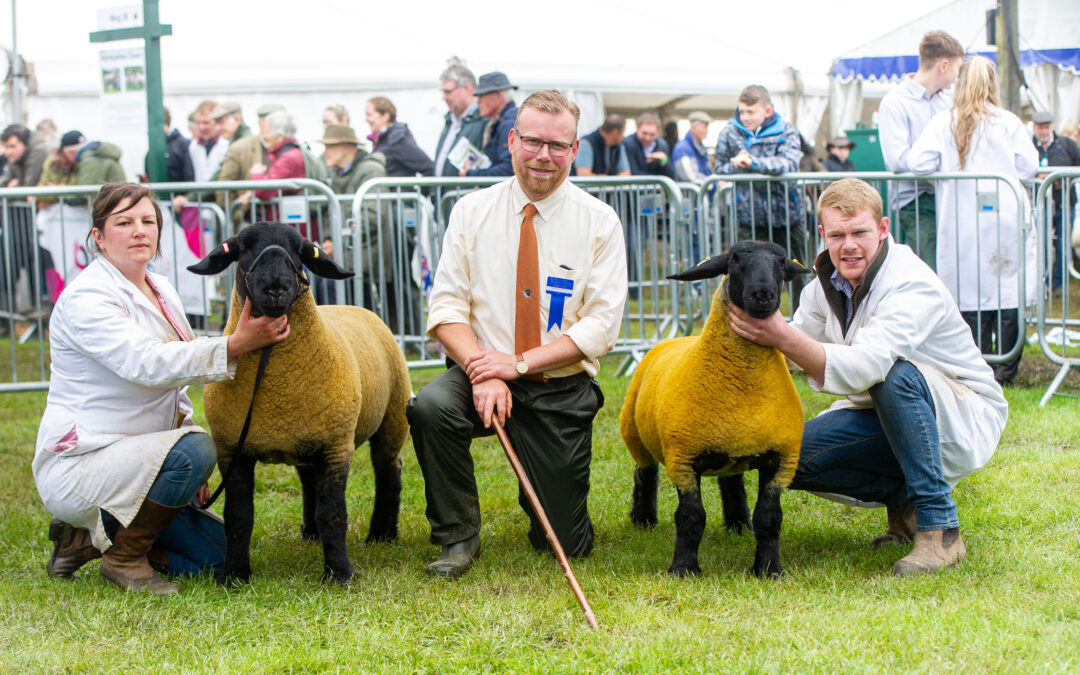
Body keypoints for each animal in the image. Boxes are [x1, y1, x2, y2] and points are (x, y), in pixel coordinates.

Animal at [187, 222, 410, 583]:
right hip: (305, 440)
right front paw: (234, 576)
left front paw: (339, 574)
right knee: (309, 480)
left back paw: (382, 534)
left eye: (300, 251)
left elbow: (333, 514)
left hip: (392, 415)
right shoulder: (232, 449)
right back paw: (311, 532)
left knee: (389, 470)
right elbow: (238, 517)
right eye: (242, 248)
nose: (276, 288)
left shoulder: (337, 446)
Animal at [617, 239, 812, 574]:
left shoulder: (781, 460)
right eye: (733, 260)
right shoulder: (682, 459)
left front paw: (769, 569)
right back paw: (643, 521)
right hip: (634, 432)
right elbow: (691, 517)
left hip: (732, 451)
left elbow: (769, 517)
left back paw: (738, 525)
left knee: (731, 482)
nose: (763, 295)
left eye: (782, 262)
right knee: (645, 473)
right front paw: (683, 569)